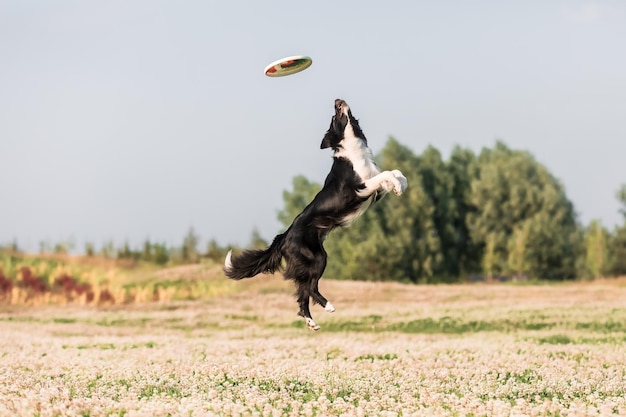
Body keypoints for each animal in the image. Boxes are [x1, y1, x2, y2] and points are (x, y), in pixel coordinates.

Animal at [222, 99, 408, 330]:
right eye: (335, 115)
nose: (337, 101)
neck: (353, 149)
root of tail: (284, 237)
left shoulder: (376, 189)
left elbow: (396, 172)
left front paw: (401, 185)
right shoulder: (360, 187)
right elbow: (387, 173)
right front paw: (398, 186)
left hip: (311, 260)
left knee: (302, 293)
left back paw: (312, 322)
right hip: (318, 258)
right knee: (309, 287)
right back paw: (328, 306)